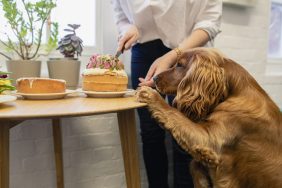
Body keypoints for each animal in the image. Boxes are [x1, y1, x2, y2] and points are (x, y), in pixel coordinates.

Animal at [136, 48, 282, 188]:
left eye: (180, 65)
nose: (154, 78)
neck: (232, 93)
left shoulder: (209, 140)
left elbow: (173, 113)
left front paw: (150, 95)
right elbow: (194, 165)